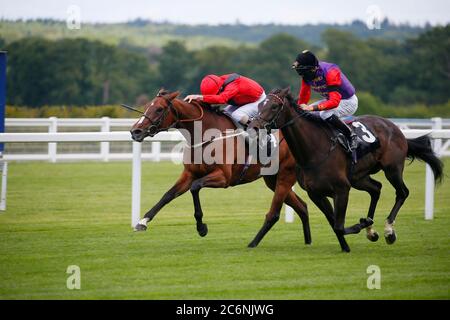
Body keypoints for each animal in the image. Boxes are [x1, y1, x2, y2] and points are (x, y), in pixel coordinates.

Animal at [126, 89, 310, 248]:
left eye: (159, 109)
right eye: (147, 106)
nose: (135, 131)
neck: (205, 135)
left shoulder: (223, 178)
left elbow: (195, 188)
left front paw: (201, 228)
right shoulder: (189, 173)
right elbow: (168, 195)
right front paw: (142, 222)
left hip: (285, 176)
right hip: (272, 179)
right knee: (302, 206)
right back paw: (308, 241)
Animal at [250, 88, 442, 252]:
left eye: (274, 106)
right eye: (260, 105)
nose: (254, 127)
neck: (315, 150)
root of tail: (394, 127)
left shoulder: (342, 189)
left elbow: (339, 225)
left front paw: (360, 226)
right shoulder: (316, 193)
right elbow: (334, 222)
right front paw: (349, 244)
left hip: (392, 169)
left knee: (402, 192)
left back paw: (388, 230)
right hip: (359, 178)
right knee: (376, 188)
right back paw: (371, 228)